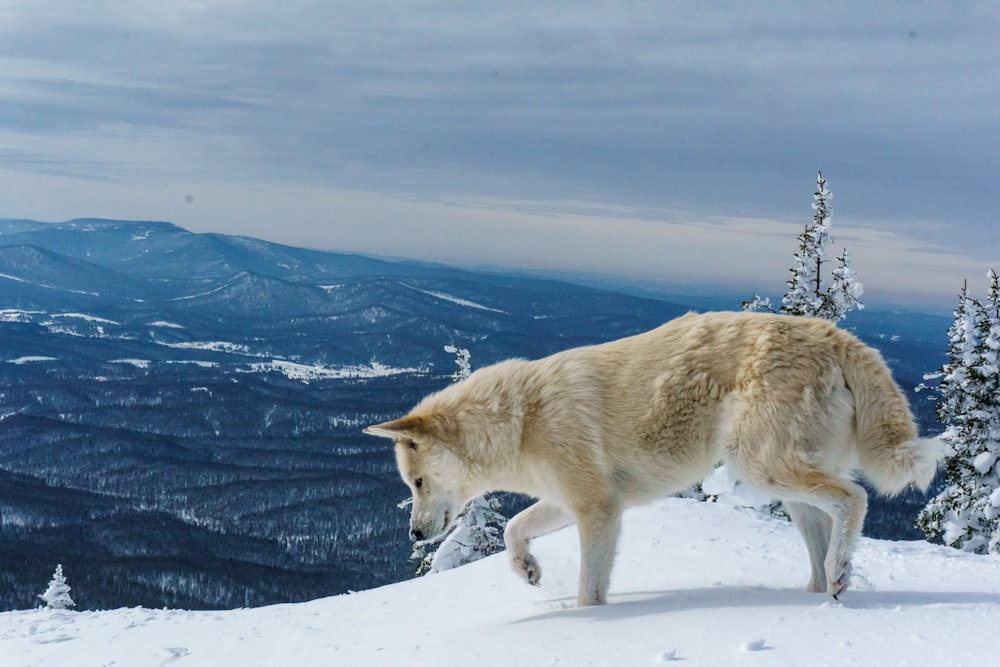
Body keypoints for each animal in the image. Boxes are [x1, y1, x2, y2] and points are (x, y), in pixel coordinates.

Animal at [364, 310, 940, 608]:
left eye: (416, 482)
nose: (414, 534)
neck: (520, 419)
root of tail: (837, 337)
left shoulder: (598, 511)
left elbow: (589, 591)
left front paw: (584, 624)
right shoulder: (570, 502)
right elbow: (512, 529)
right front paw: (527, 570)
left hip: (760, 466)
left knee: (854, 498)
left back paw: (842, 572)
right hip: (787, 489)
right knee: (824, 542)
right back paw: (818, 597)